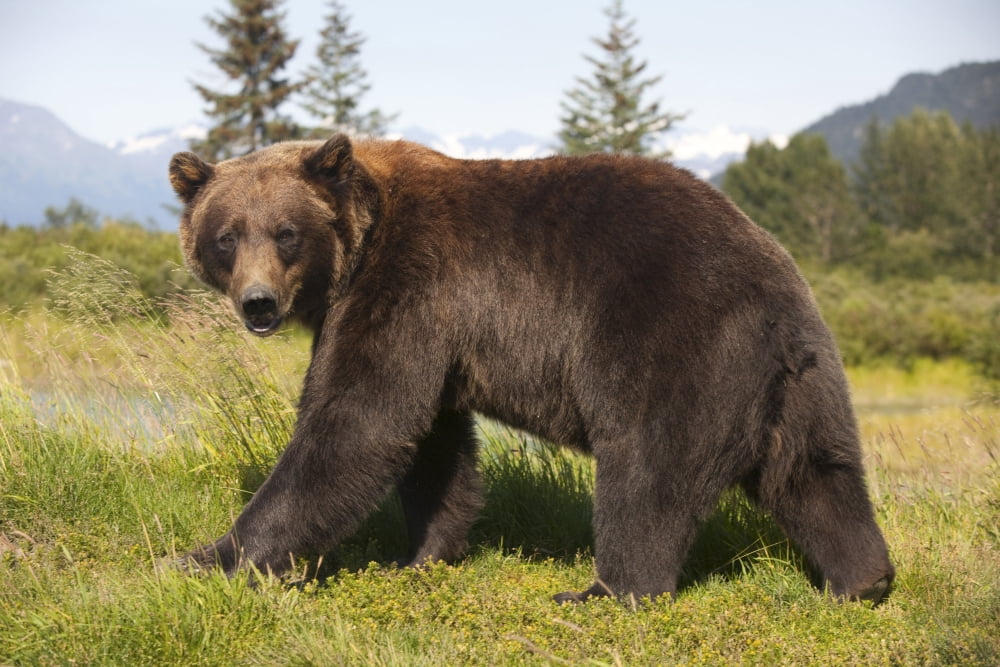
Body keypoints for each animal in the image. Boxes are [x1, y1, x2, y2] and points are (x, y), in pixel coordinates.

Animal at [168, 134, 894, 604]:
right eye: (227, 236)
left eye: (286, 232)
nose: (258, 302)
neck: (360, 246)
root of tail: (774, 287)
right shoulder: (436, 330)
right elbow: (431, 443)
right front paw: (421, 553)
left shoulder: (407, 284)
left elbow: (356, 424)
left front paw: (211, 555)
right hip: (802, 377)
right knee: (815, 472)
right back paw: (860, 580)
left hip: (673, 341)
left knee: (646, 470)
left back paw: (605, 589)